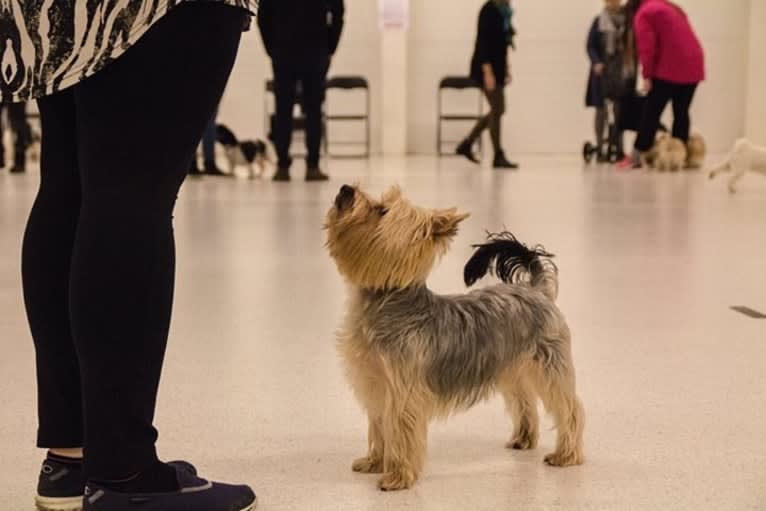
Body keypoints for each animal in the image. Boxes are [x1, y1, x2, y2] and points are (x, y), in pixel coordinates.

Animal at [326, 185, 588, 492]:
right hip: (511, 368)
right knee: (524, 401)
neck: (388, 302)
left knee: (569, 408)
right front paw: (375, 461)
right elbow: (380, 427)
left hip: (550, 367)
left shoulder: (403, 394)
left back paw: (566, 455)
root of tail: (536, 289)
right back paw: (524, 439)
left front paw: (397, 476)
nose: (346, 188)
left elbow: (400, 431)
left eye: (382, 210)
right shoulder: (376, 386)